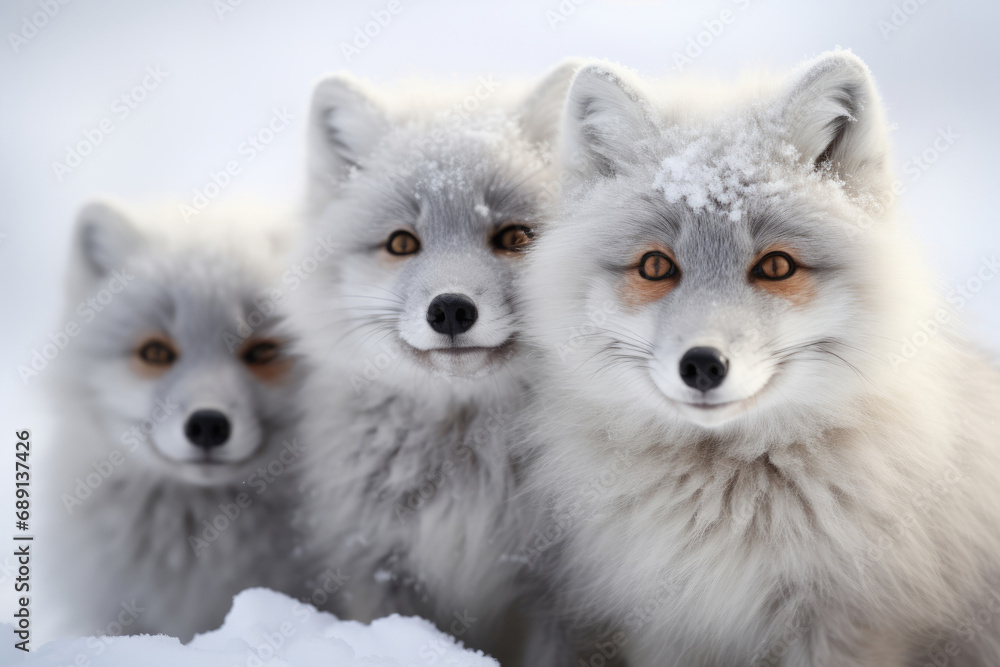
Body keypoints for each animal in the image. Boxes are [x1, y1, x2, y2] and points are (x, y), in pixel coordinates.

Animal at [520, 52, 1000, 667]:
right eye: (655, 266)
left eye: (775, 266)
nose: (702, 364)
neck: (730, 512)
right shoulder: (668, 626)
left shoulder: (846, 626)